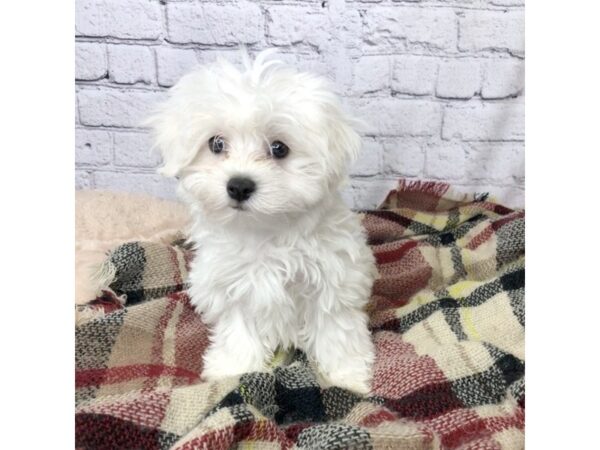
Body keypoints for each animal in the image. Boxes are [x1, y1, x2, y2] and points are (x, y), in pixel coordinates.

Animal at [147, 50, 376, 394]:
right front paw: (233, 369)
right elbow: (238, 330)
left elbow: (334, 329)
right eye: (216, 144)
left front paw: (346, 377)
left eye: (279, 148)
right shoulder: (230, 286)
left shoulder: (333, 280)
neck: (265, 230)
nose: (239, 186)